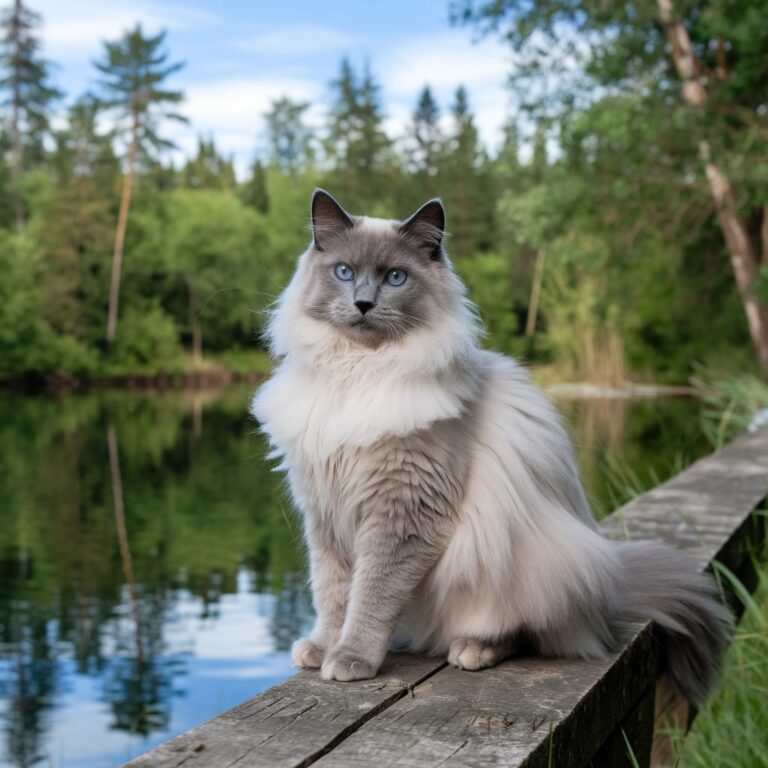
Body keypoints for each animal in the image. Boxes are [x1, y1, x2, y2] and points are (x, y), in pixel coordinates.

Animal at [254, 188, 732, 704]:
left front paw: (351, 659)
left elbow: (371, 596)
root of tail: (611, 594)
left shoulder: (402, 513)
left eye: (395, 277)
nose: (362, 302)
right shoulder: (325, 512)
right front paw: (321, 648)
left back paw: (472, 651)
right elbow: (332, 593)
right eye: (343, 272)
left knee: (527, 633)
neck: (357, 373)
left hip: (522, 567)